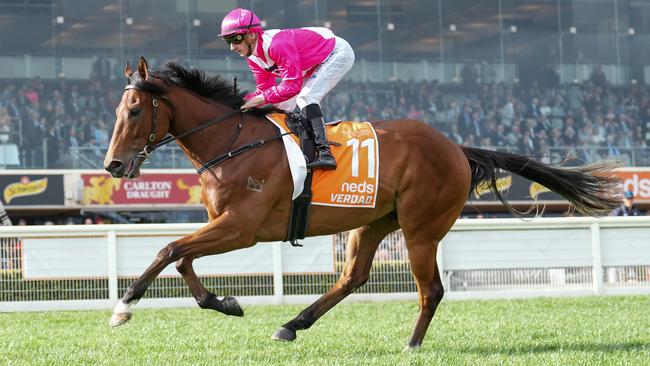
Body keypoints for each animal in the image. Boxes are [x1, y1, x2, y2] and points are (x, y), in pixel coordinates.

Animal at [104, 56, 620, 348]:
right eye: (116, 111)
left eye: (135, 110)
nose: (112, 165)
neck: (232, 141)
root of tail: (456, 147)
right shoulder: (225, 224)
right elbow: (180, 258)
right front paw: (223, 302)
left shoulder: (242, 228)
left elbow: (169, 249)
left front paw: (123, 307)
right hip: (373, 222)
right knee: (353, 277)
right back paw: (293, 324)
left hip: (421, 227)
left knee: (431, 290)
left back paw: (411, 346)